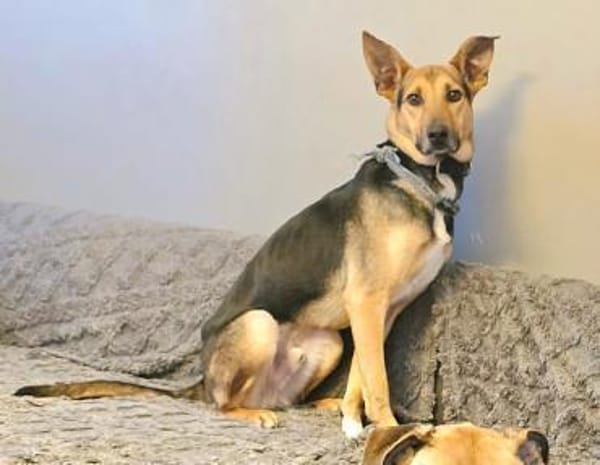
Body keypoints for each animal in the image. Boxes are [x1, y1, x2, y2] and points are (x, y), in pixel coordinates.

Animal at [15, 31, 497, 438]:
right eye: (413, 99)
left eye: (454, 95)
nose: (438, 136)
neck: (422, 180)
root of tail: (201, 381)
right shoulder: (367, 302)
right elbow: (377, 382)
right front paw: (386, 429)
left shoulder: (382, 312)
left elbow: (363, 376)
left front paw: (353, 422)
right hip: (259, 324)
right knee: (222, 404)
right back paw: (253, 413)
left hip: (326, 343)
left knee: (293, 396)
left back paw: (322, 405)